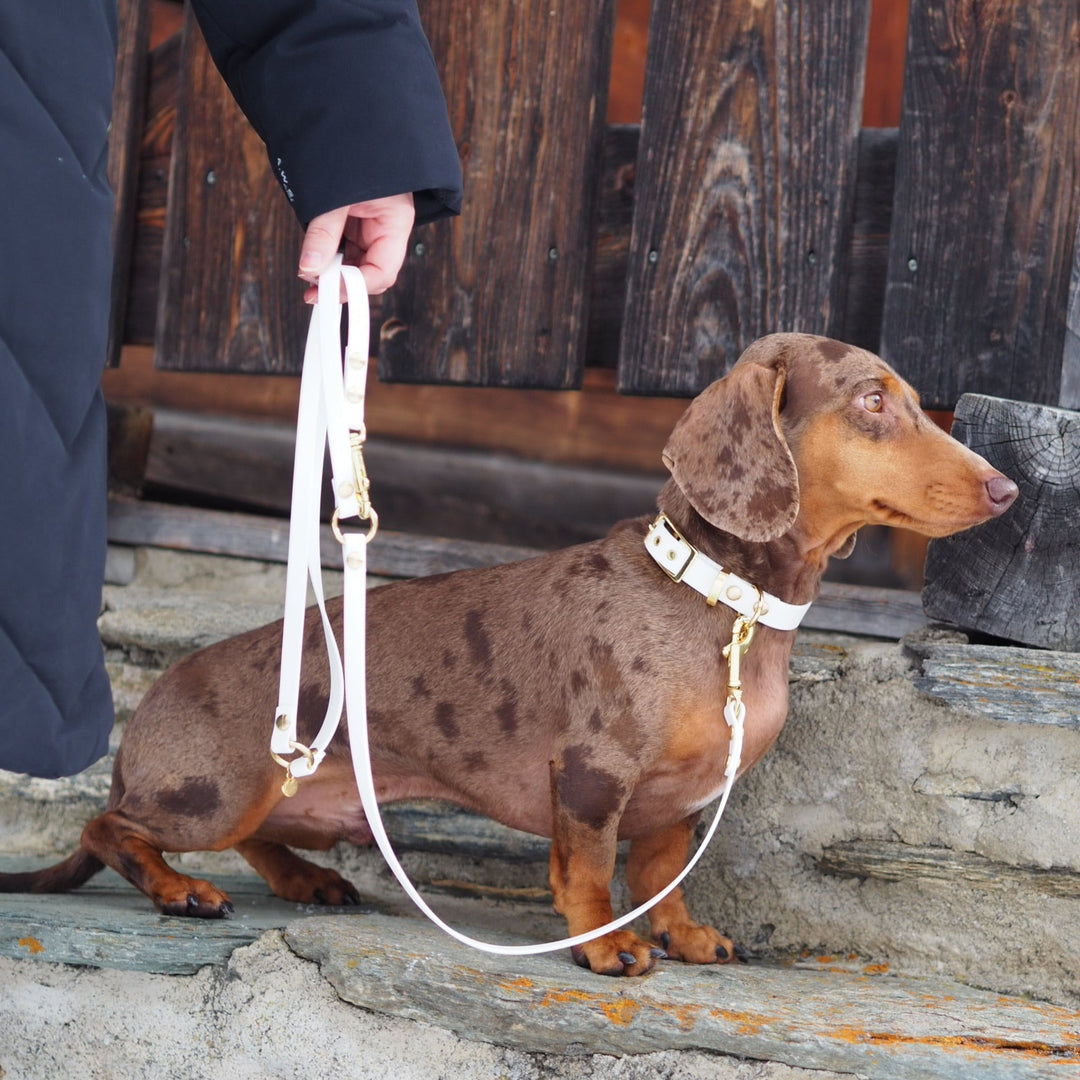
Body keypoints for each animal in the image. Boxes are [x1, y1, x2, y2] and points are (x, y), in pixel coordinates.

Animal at [2, 336, 1010, 980]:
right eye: (871, 400)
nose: (1007, 489)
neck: (723, 607)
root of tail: (146, 719)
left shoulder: (679, 804)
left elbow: (661, 878)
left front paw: (683, 936)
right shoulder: (594, 776)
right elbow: (590, 873)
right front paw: (605, 945)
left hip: (289, 801)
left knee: (249, 836)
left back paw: (304, 880)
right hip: (209, 793)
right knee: (107, 829)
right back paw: (177, 889)